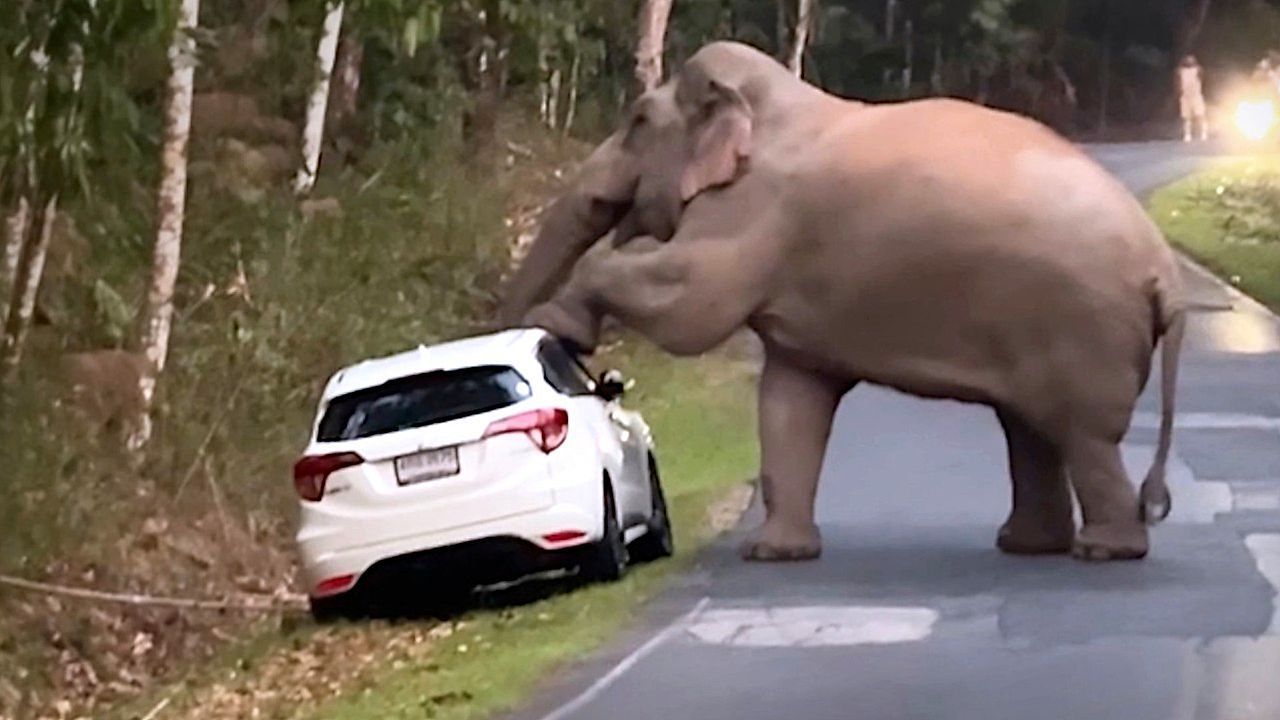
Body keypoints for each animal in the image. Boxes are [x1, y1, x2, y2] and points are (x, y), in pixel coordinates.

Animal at [497, 41, 1186, 563]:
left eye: (638, 121)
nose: (523, 339)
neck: (775, 101)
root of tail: (1166, 276)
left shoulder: (755, 211)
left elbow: (693, 304)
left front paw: (561, 319)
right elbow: (790, 399)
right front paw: (774, 555)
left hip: (1082, 326)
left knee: (1083, 434)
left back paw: (1105, 552)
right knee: (1032, 429)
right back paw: (1029, 546)